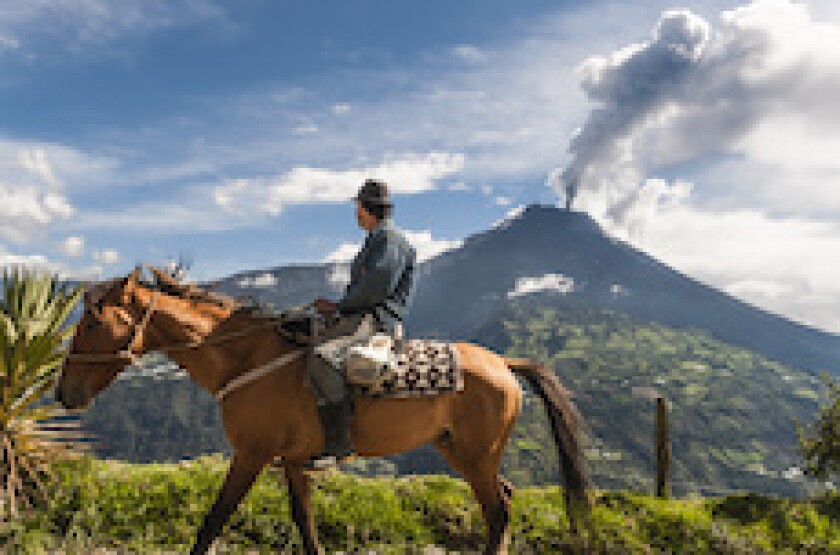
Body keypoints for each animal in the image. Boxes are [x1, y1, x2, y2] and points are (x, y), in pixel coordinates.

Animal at [55, 266, 592, 555]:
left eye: (91, 325)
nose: (63, 394)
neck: (249, 357)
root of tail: (503, 362)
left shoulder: (251, 454)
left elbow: (215, 517)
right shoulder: (294, 462)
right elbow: (304, 522)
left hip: (476, 455)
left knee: (498, 509)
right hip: (460, 451)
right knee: (504, 499)